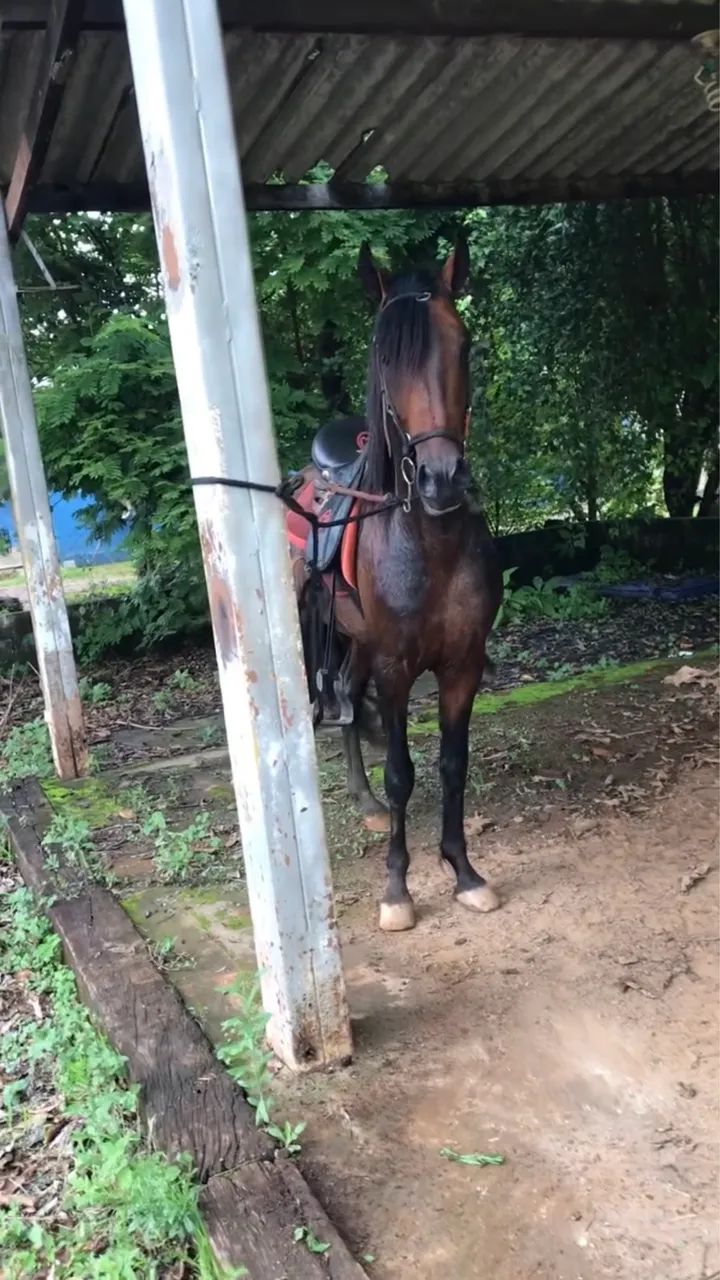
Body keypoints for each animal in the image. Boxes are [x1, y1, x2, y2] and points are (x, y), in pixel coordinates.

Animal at [287, 234, 503, 932]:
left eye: (464, 345)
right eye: (386, 355)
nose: (441, 478)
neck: (428, 541)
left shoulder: (464, 664)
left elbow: (453, 763)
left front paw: (463, 871)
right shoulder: (396, 667)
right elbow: (403, 772)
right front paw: (397, 890)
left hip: (356, 641)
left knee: (350, 704)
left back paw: (363, 801)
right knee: (336, 702)